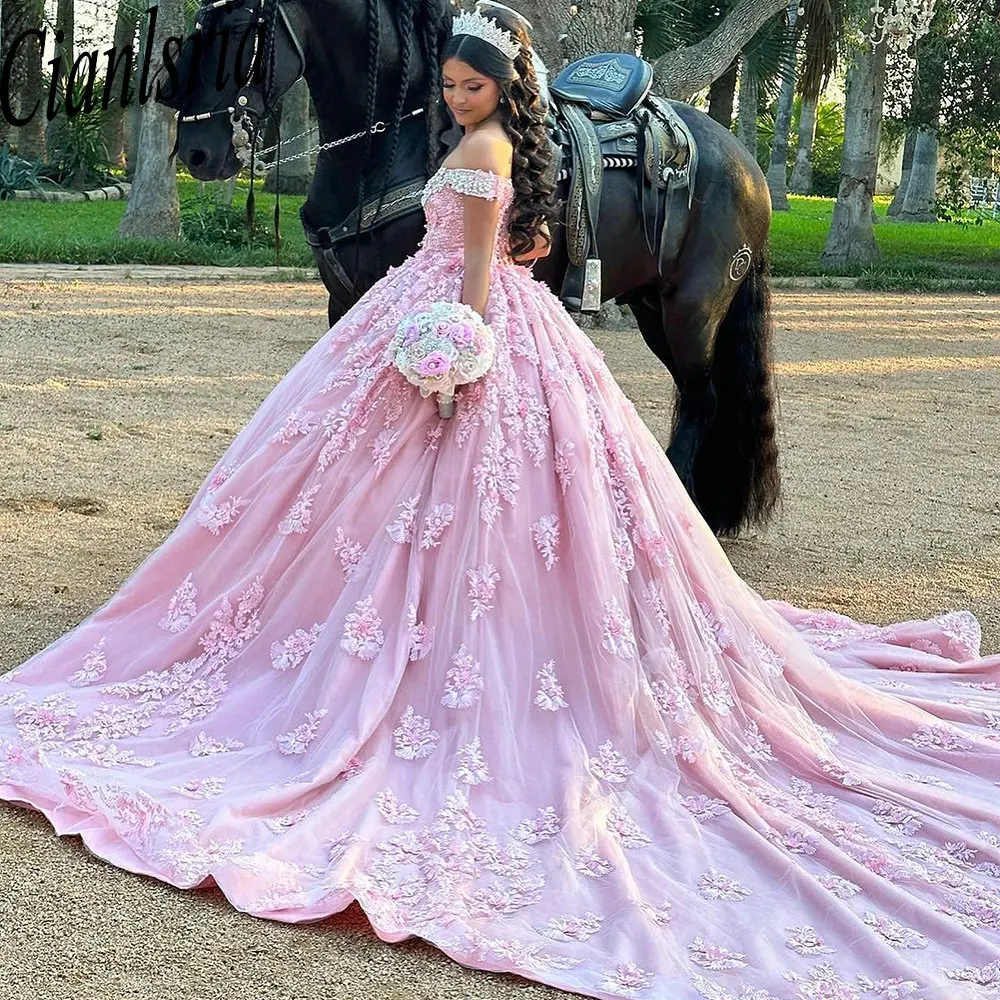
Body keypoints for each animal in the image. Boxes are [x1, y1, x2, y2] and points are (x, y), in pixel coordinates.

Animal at [170, 0, 780, 540]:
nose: (196, 153)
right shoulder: (343, 301)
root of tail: (744, 162)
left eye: (239, 29)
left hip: (693, 308)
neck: (396, 140)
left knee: (702, 397)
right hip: (653, 304)